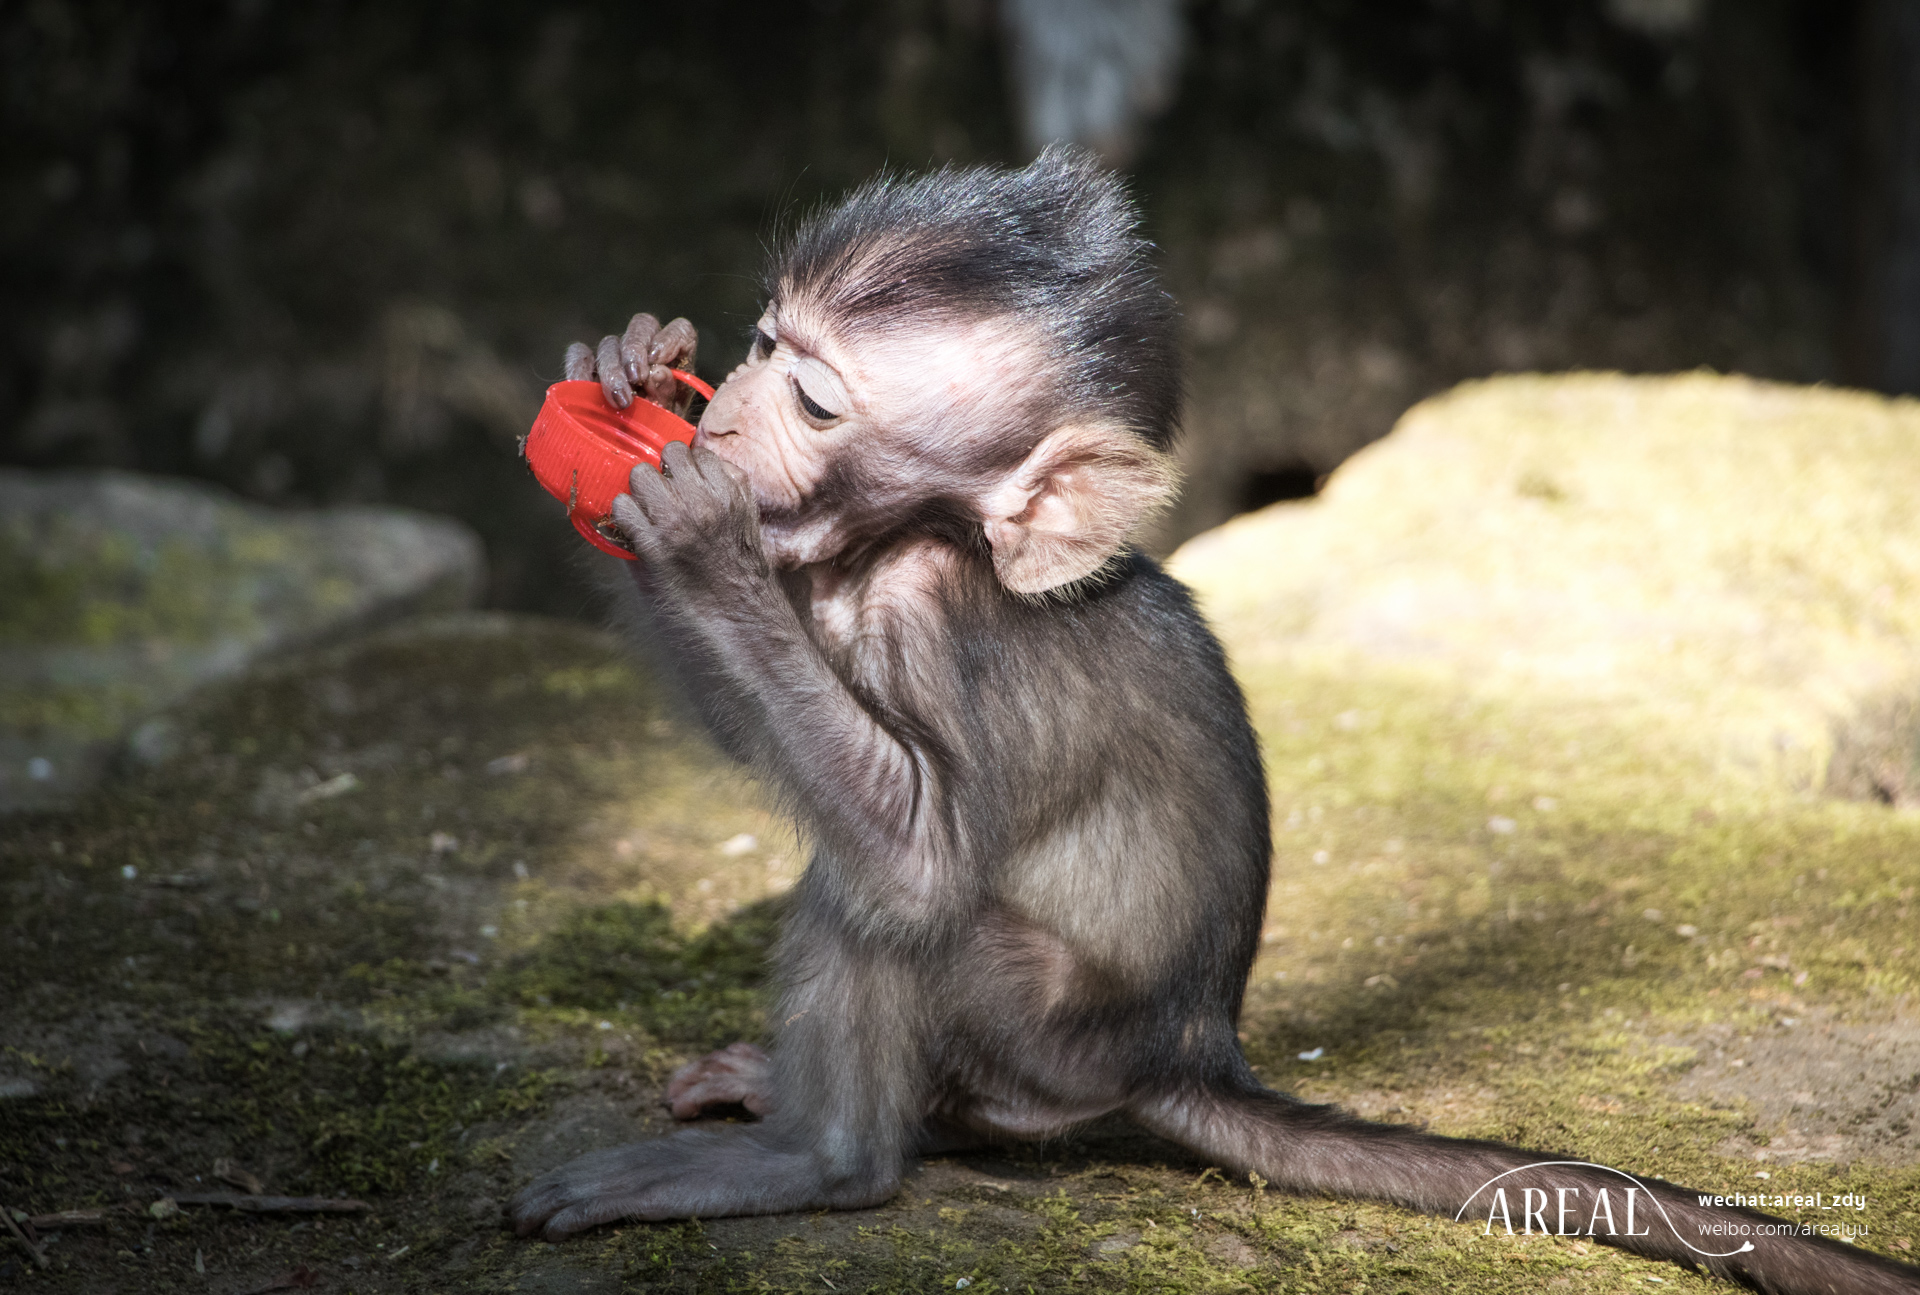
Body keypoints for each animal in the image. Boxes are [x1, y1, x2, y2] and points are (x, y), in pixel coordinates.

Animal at [514, 148, 1920, 1291]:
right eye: (758, 347)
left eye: (813, 402)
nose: (725, 412)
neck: (917, 540)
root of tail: (1189, 1049)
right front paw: (622, 365)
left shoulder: (930, 608)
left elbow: (914, 867)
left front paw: (700, 541)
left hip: (1043, 1029)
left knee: (891, 912)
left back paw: (827, 1158)